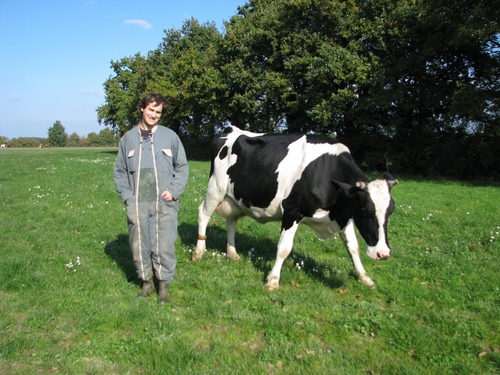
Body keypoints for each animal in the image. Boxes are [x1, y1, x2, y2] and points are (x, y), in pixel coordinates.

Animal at [192, 126, 398, 290]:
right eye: (365, 212)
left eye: (390, 213)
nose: (383, 254)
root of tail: (231, 129)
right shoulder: (292, 210)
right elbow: (284, 248)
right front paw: (273, 280)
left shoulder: (344, 215)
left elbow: (353, 247)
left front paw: (364, 277)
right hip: (216, 189)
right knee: (203, 213)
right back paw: (199, 251)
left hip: (235, 198)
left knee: (231, 222)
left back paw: (232, 253)